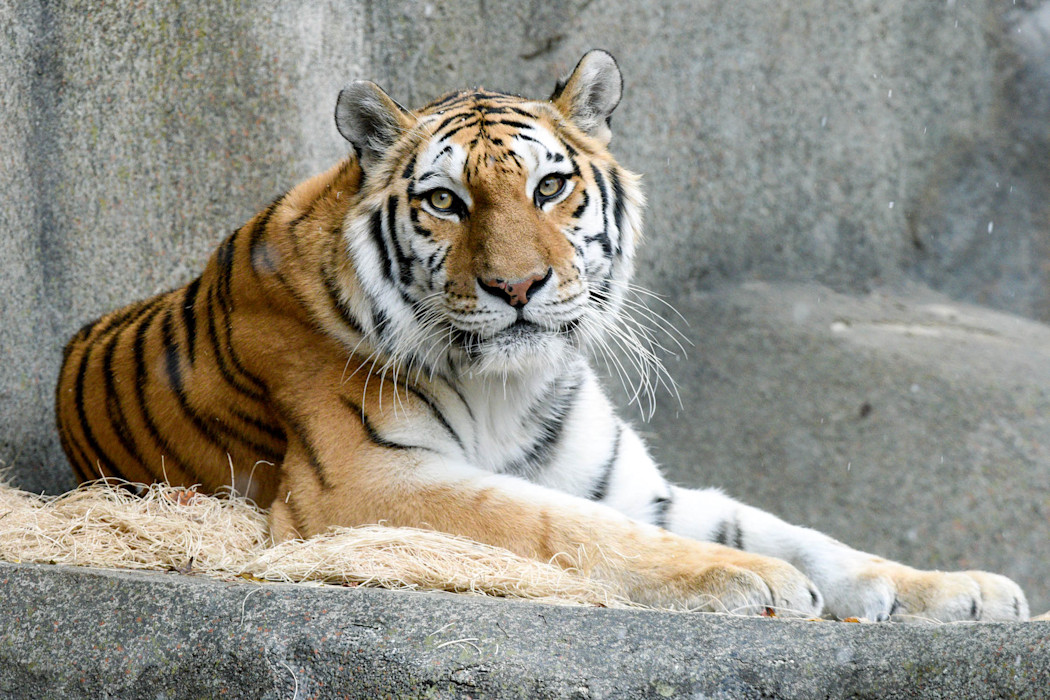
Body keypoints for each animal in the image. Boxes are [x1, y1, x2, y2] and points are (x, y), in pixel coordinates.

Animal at [55, 50, 1029, 621]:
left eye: (550, 188)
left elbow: (792, 530)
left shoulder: (631, 483)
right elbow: (564, 526)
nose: (516, 286)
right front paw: (751, 580)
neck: (506, 388)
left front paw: (965, 589)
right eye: (445, 201)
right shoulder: (361, 486)